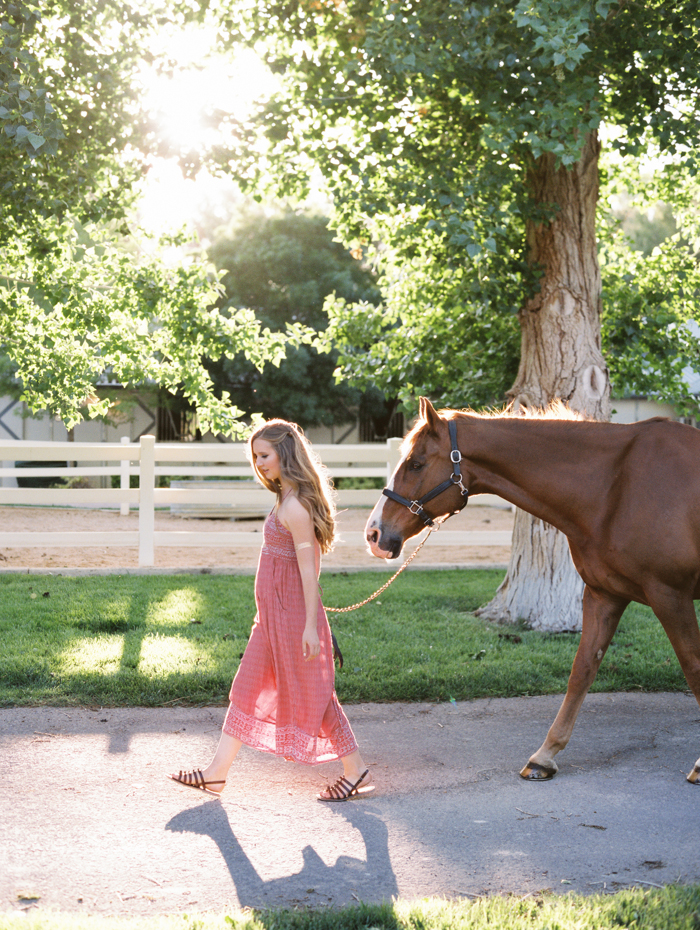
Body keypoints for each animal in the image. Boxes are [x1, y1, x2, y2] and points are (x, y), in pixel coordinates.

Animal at [364, 396, 700, 780]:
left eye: (416, 463)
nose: (374, 534)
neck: (617, 486)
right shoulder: (604, 595)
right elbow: (582, 670)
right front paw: (545, 755)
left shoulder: (670, 595)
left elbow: (693, 667)